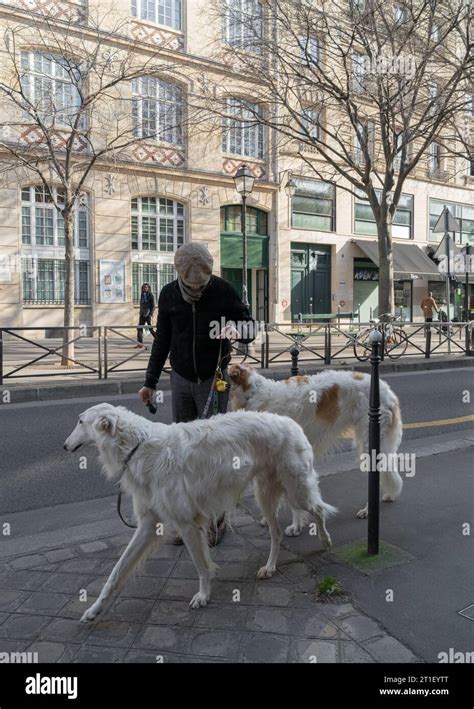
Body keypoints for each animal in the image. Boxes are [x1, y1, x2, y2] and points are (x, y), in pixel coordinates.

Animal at [64, 404, 336, 620]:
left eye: (80, 421)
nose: (65, 446)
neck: (138, 446)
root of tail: (290, 421)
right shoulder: (148, 524)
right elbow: (116, 573)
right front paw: (94, 609)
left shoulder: (187, 523)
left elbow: (200, 565)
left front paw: (203, 595)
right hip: (267, 493)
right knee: (277, 533)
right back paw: (269, 567)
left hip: (295, 489)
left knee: (318, 509)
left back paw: (325, 541)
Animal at [228, 362, 402, 528]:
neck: (254, 393)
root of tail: (388, 392)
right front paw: (268, 520)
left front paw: (296, 525)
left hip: (368, 443)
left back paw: (367, 510)